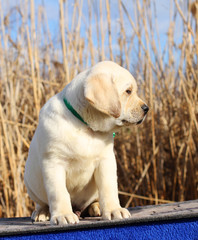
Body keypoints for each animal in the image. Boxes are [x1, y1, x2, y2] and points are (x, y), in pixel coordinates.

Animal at [24, 60, 148, 225]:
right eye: (128, 91)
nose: (146, 108)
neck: (85, 127)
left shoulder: (106, 161)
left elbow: (108, 188)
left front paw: (114, 210)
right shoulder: (53, 162)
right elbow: (59, 192)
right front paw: (63, 215)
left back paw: (96, 207)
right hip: (30, 183)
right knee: (42, 202)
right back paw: (41, 212)